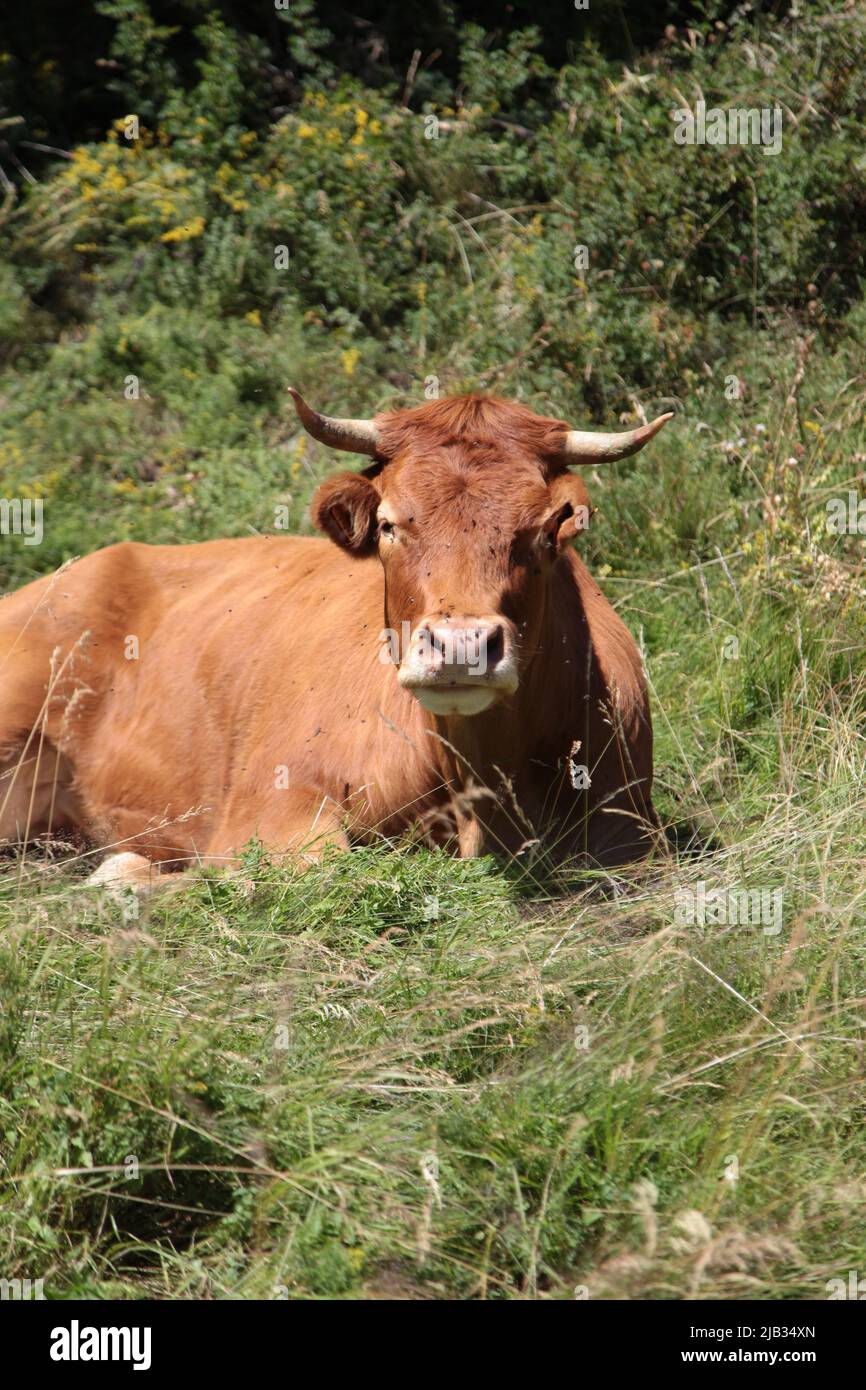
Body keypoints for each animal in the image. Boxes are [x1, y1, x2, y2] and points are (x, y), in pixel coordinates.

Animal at [0, 394, 670, 889]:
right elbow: (301, 873)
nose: (460, 646)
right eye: (389, 525)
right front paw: (128, 877)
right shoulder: (273, 801)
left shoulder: (634, 833)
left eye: (541, 531)